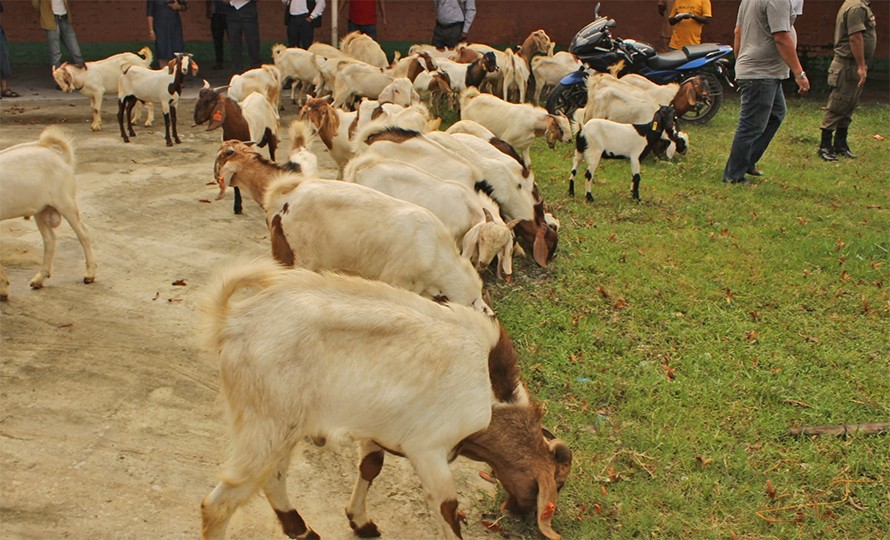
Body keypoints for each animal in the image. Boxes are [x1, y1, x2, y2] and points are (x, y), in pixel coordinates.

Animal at [0, 126, 96, 300]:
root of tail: (62, 158)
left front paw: (3, 288)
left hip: (65, 202)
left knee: (83, 233)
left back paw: (89, 274)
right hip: (41, 209)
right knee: (49, 239)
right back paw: (39, 279)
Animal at [199, 258, 572, 539]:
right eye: (559, 483)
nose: (520, 514)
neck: (492, 397)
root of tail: (233, 322)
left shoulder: (378, 427)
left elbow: (371, 466)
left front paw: (359, 520)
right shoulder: (428, 449)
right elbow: (447, 508)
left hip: (285, 428)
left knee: (273, 477)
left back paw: (301, 529)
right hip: (265, 426)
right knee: (220, 504)